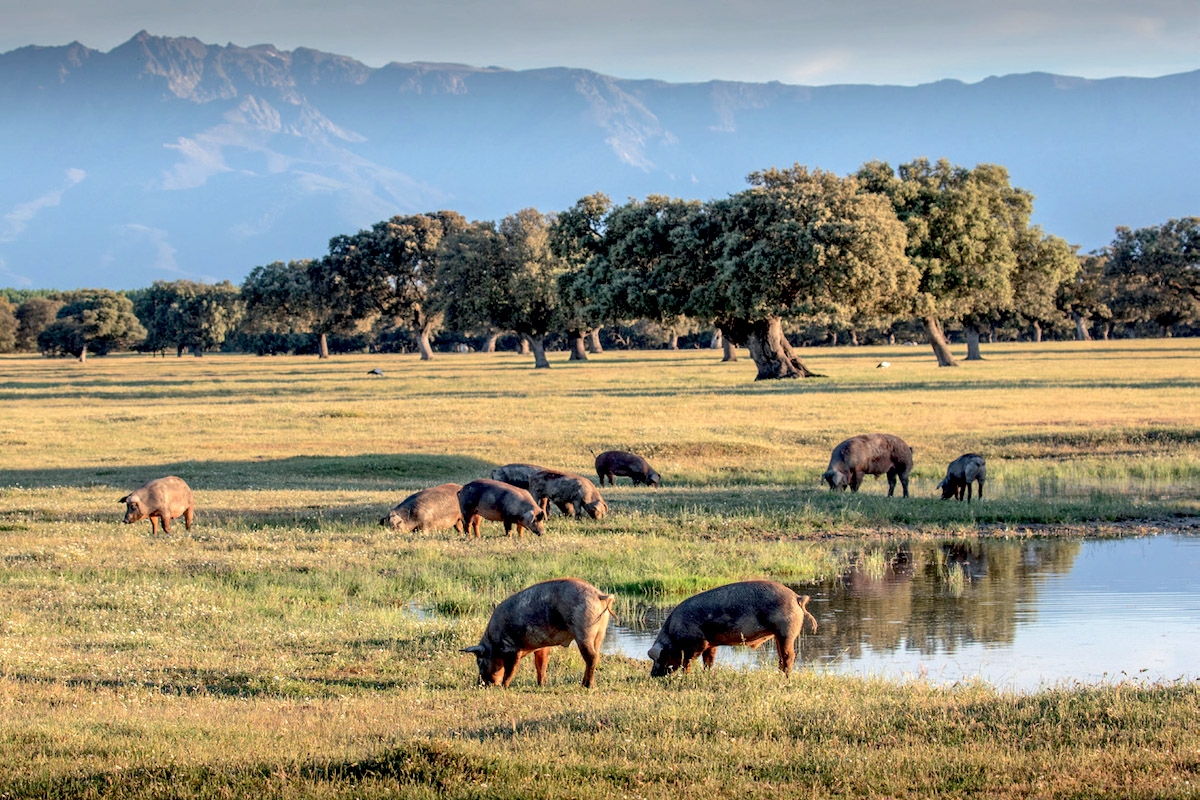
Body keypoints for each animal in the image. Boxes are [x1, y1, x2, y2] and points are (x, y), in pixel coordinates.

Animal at [456, 575, 614, 690]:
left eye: (479, 661)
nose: (479, 684)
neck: (493, 643)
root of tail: (600, 595)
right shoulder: (541, 647)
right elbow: (541, 665)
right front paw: (541, 685)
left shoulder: (512, 649)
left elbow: (510, 669)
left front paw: (503, 687)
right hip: (599, 633)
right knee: (595, 656)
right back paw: (584, 684)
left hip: (584, 632)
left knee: (591, 657)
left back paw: (587, 686)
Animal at [648, 578, 816, 681]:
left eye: (660, 657)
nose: (652, 674)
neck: (674, 633)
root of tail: (797, 597)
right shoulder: (711, 644)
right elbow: (708, 661)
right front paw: (706, 675)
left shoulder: (697, 643)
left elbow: (687, 662)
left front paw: (686, 676)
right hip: (780, 634)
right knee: (782, 656)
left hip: (786, 631)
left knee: (789, 656)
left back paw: (784, 678)